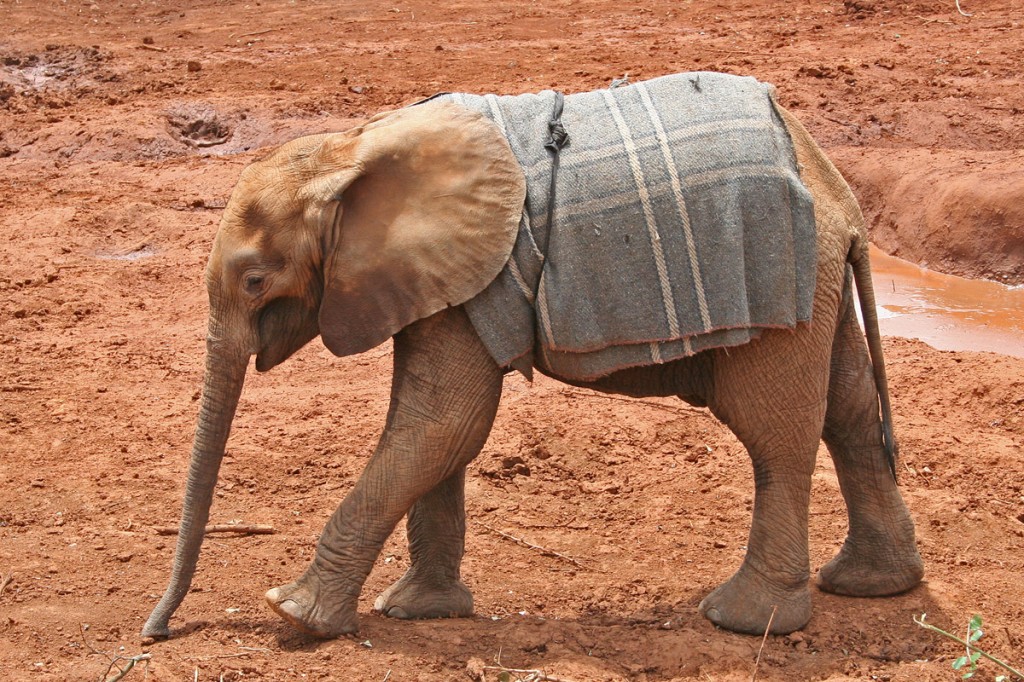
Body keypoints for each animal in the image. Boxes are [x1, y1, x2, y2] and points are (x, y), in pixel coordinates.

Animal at [142, 71, 921, 638]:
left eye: (255, 280)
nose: (159, 631)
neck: (351, 149)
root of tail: (841, 195)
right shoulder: (442, 279)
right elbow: (440, 431)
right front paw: (418, 611)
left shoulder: (471, 275)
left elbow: (441, 423)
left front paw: (295, 614)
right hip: (819, 283)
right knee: (850, 412)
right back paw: (871, 585)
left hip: (782, 284)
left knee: (776, 435)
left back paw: (746, 622)